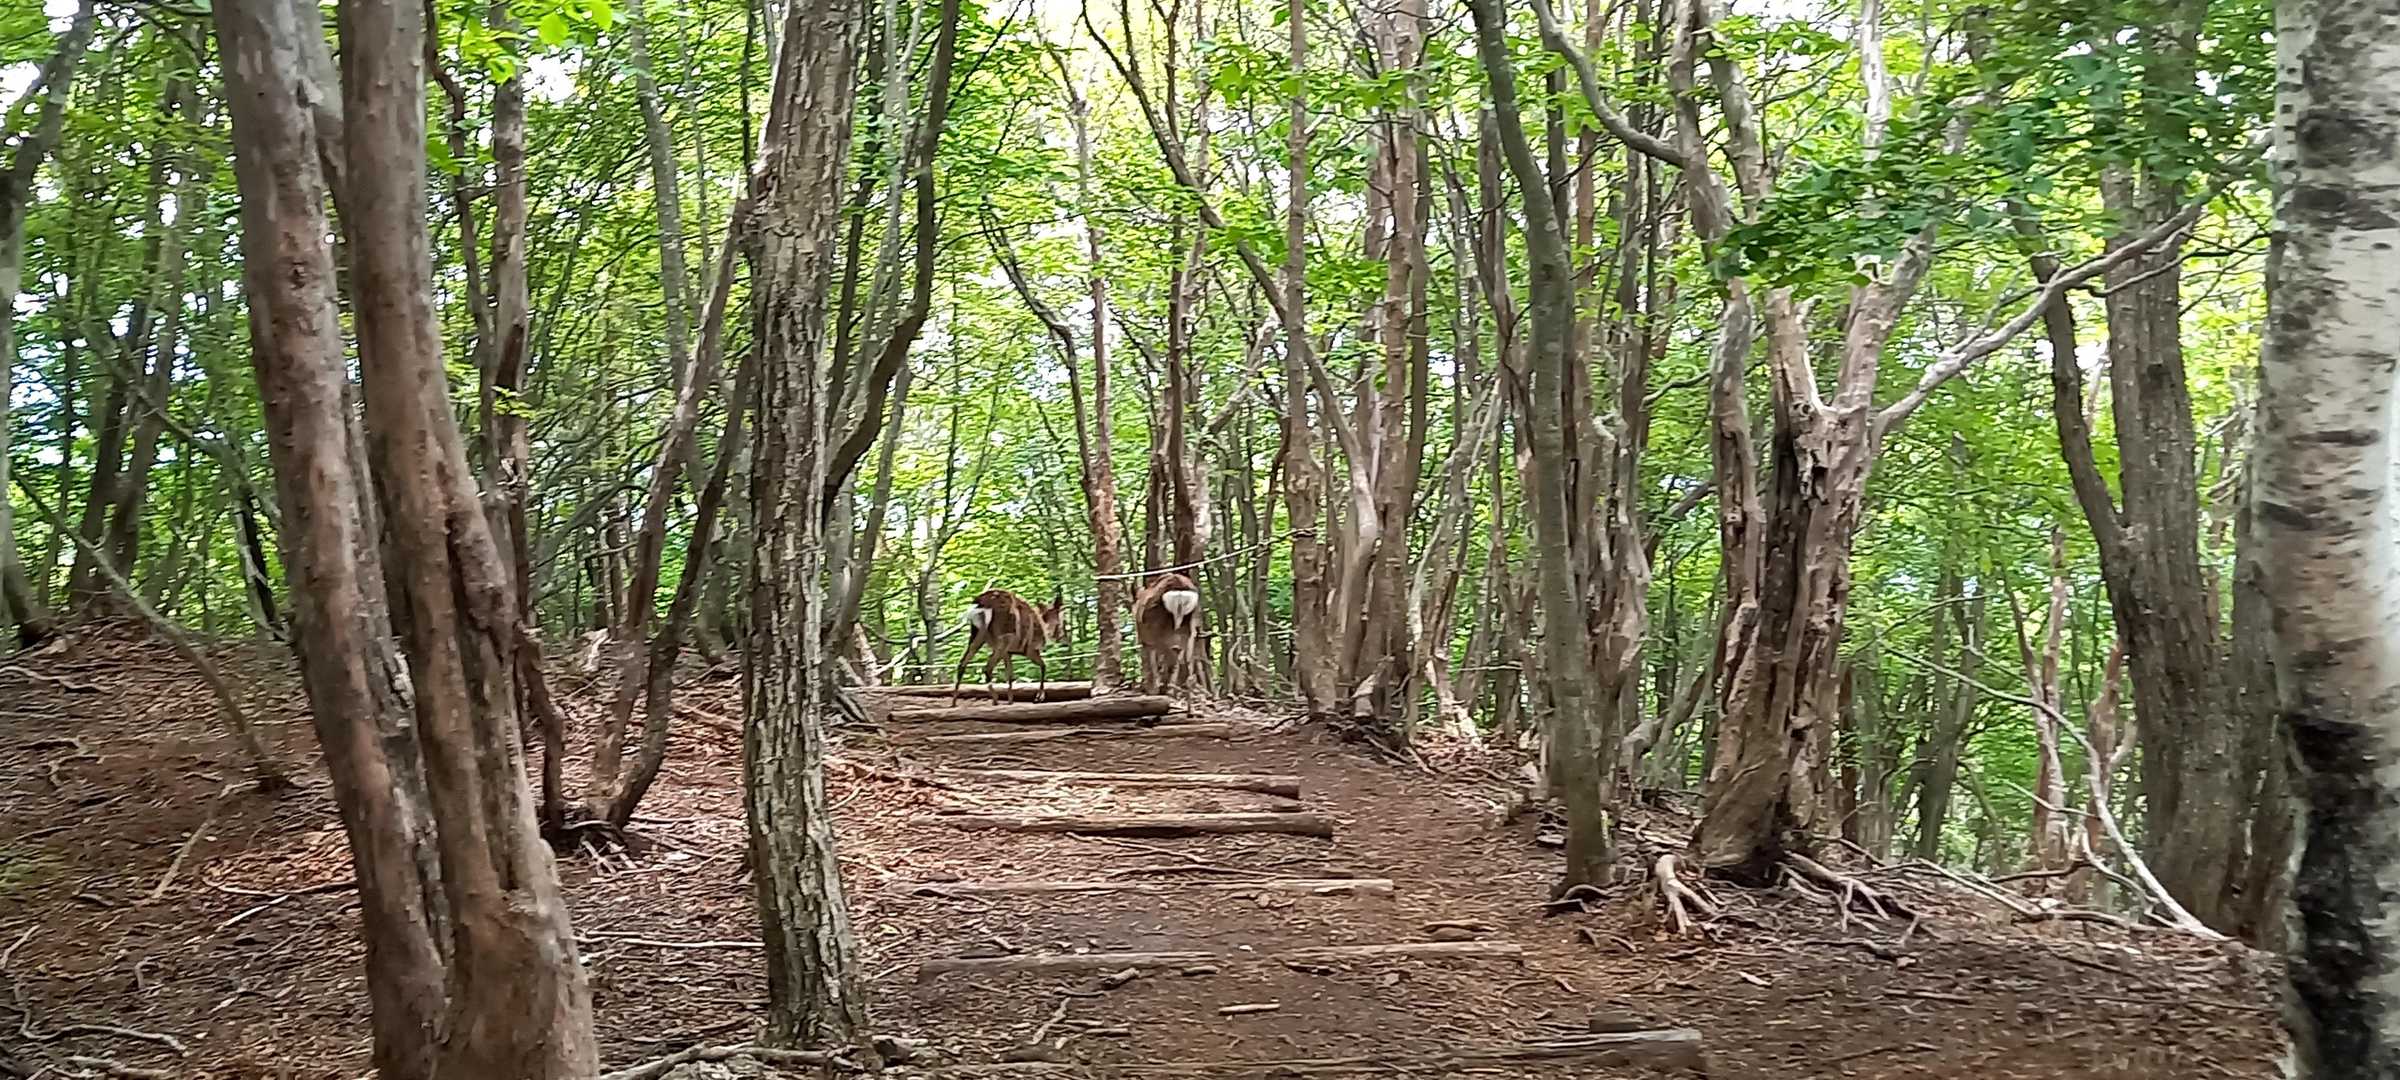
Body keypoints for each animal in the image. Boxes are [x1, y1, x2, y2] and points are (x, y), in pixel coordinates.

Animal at [1133, 571, 1202, 700]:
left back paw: (1161, 689)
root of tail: (1180, 595)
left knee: (1169, 656)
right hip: (1189, 625)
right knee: (1184, 656)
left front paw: (1151, 688)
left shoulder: (1146, 638)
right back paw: (1182, 691)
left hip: (1158, 629)